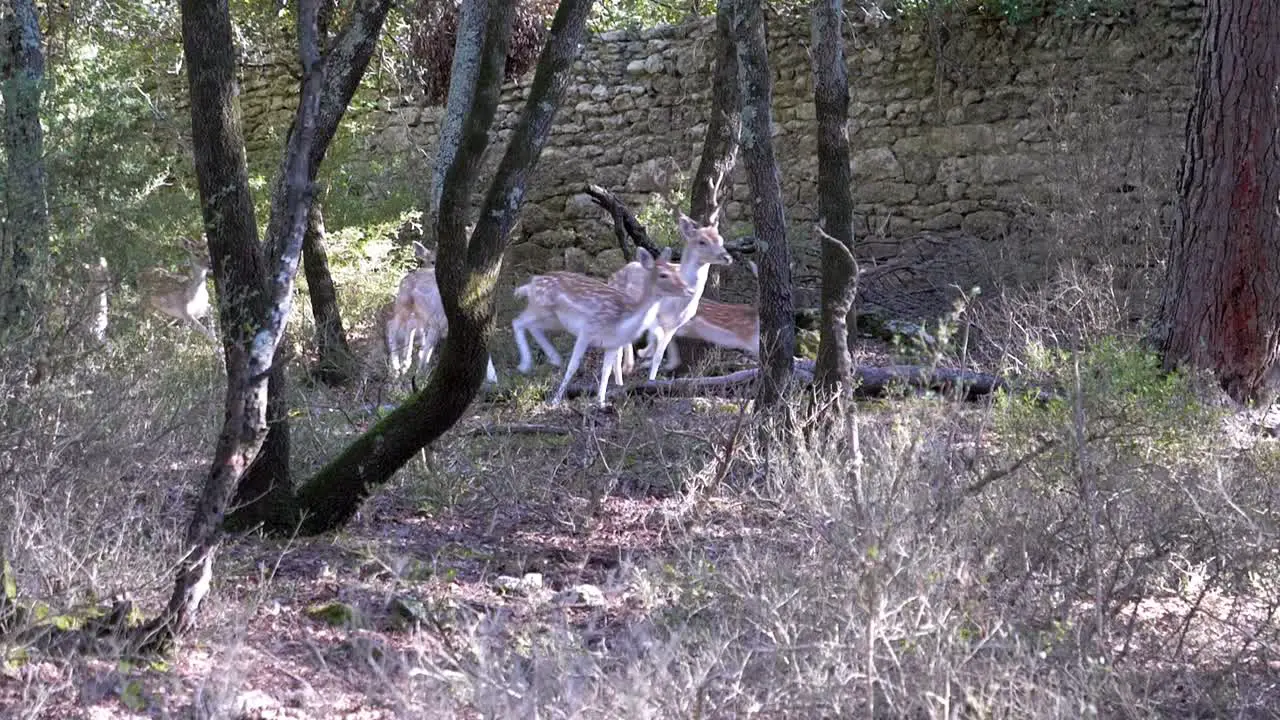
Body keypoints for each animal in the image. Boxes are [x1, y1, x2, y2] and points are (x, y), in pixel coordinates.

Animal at [381, 240, 496, 384]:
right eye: (432, 261)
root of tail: (405, 277)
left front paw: (492, 377)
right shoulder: (436, 323)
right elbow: (427, 354)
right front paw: (420, 378)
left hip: (419, 313)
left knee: (410, 326)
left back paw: (405, 363)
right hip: (404, 304)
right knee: (392, 326)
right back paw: (396, 368)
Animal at [509, 244, 691, 404]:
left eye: (675, 271)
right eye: (664, 275)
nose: (688, 289)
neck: (622, 319)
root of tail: (531, 283)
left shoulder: (612, 344)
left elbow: (606, 371)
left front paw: (601, 402)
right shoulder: (587, 331)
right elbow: (573, 366)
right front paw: (555, 400)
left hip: (553, 319)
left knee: (533, 327)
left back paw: (553, 359)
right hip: (540, 308)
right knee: (518, 321)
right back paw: (525, 364)